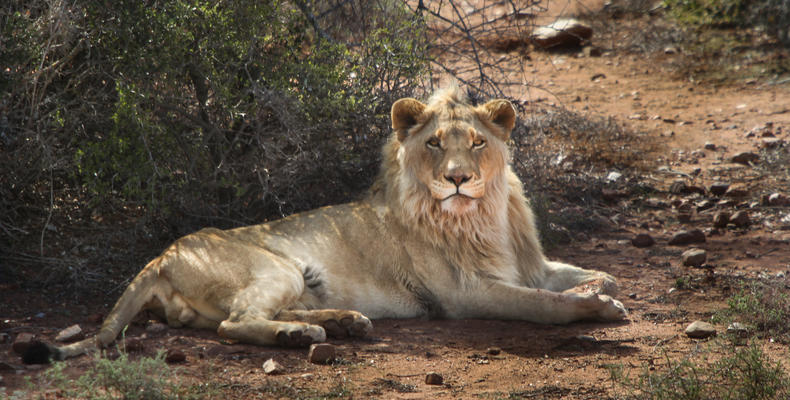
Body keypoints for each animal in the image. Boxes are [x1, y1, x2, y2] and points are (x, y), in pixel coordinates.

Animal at [40, 86, 628, 360]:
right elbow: (541, 304)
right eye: (435, 143)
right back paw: (301, 334)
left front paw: (598, 285)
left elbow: (584, 275)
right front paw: (596, 306)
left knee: (246, 317)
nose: (458, 179)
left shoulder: (530, 264)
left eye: (478, 142)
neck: (482, 216)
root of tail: (162, 256)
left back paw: (342, 323)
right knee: (236, 323)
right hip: (273, 268)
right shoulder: (467, 293)